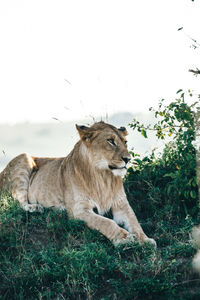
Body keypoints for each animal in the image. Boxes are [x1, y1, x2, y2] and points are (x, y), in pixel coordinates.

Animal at [0, 121, 156, 246]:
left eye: (125, 142)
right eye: (111, 141)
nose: (128, 159)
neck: (103, 177)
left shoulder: (121, 205)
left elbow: (135, 222)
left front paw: (146, 240)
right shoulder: (79, 210)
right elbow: (106, 222)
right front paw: (124, 238)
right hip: (23, 159)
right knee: (19, 202)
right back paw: (36, 207)